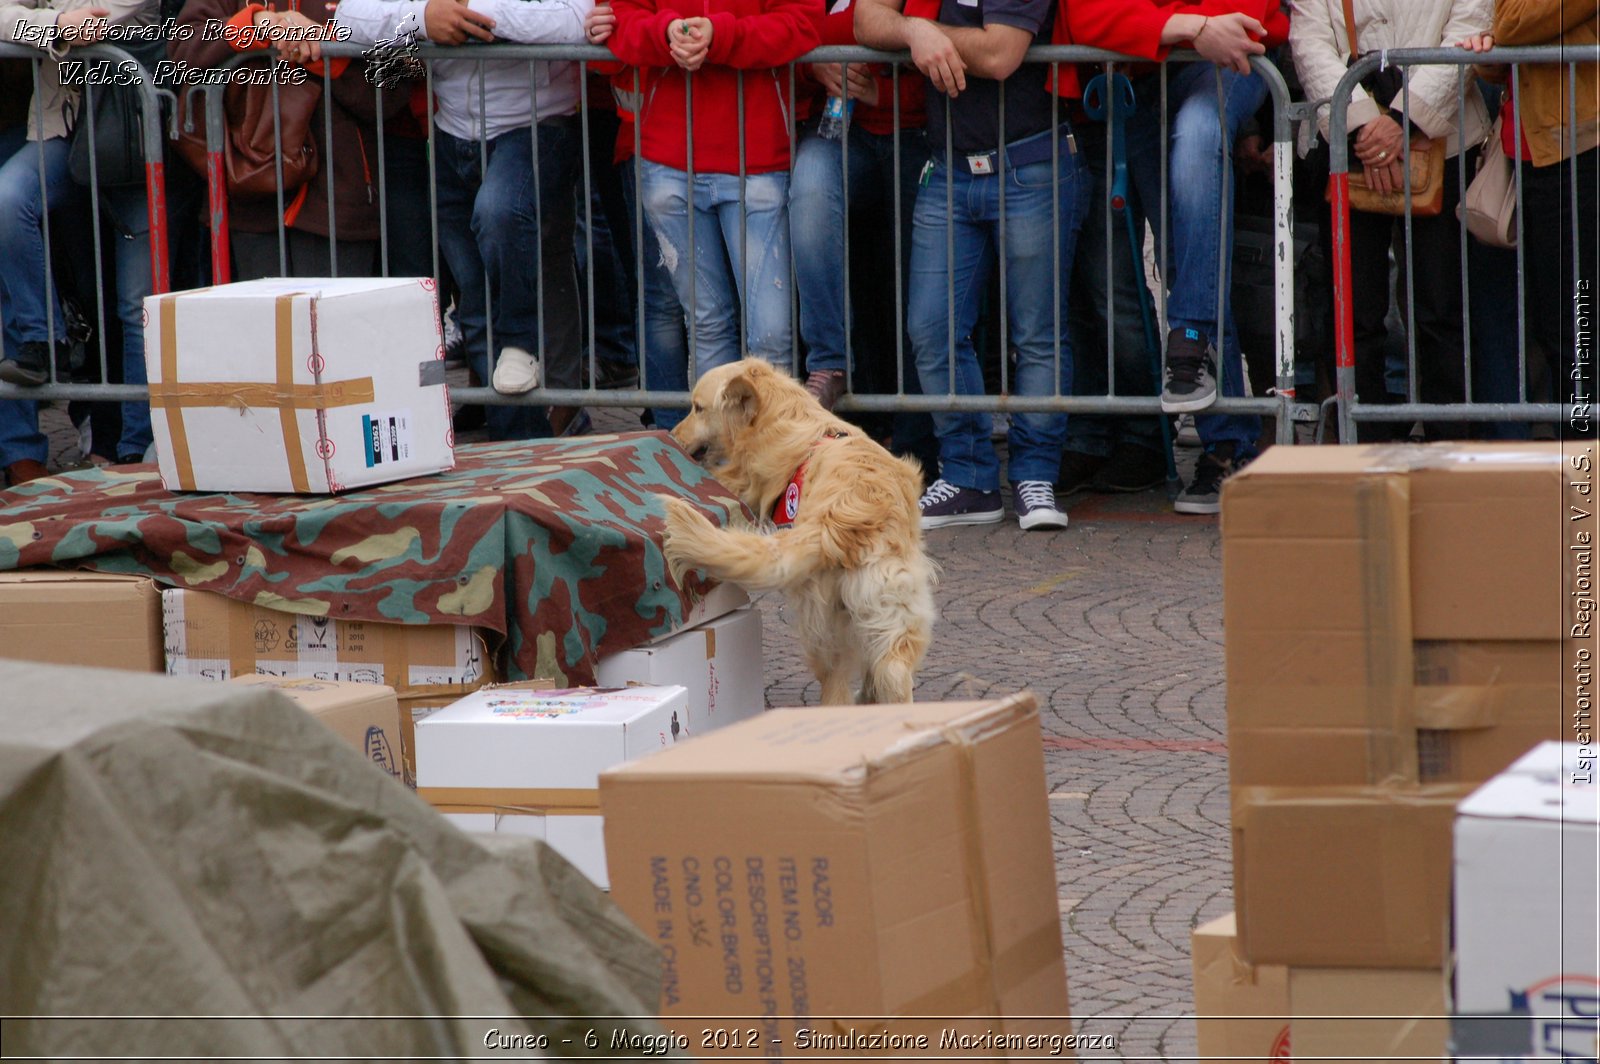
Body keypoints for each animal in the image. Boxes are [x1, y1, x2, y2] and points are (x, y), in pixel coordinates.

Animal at [662, 361, 934, 700]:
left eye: (698, 408)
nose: (672, 436)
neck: (778, 412)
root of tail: (842, 524)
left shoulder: (746, 482)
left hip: (823, 623)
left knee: (835, 680)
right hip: (891, 612)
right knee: (892, 672)